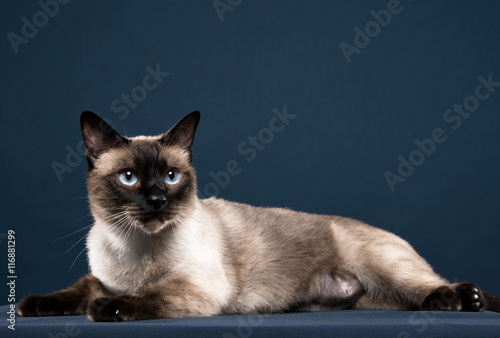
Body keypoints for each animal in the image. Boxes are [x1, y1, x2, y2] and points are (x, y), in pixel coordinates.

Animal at [17, 109, 500, 320]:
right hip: (373, 297)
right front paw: (34, 306)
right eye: (130, 178)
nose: (156, 201)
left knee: (433, 286)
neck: (133, 248)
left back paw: (463, 300)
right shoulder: (104, 277)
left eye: (171, 177)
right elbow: (80, 289)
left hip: (387, 267)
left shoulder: (196, 288)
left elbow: (141, 297)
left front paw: (105, 310)